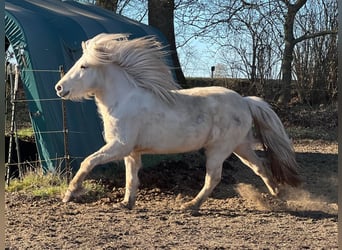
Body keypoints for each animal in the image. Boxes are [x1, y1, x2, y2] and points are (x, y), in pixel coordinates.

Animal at [54, 33, 300, 211]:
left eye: (84, 66)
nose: (59, 88)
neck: (123, 100)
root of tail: (245, 101)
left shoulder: (119, 146)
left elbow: (88, 162)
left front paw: (70, 193)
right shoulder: (131, 152)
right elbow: (131, 178)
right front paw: (126, 203)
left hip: (219, 149)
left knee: (213, 178)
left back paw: (190, 206)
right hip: (240, 147)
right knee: (259, 166)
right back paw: (277, 193)